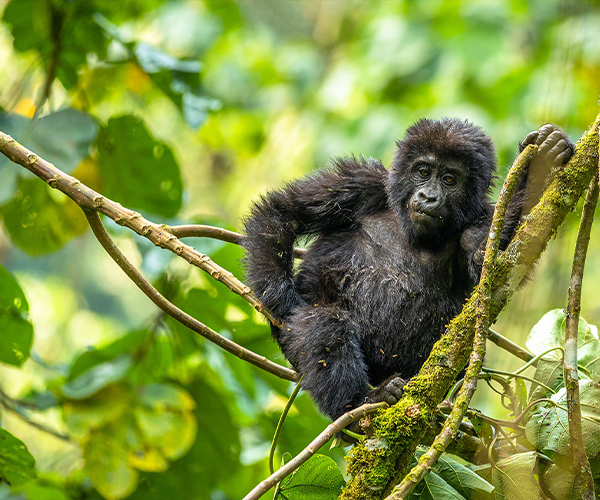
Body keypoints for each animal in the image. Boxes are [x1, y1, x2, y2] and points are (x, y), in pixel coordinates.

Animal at [243, 119, 572, 420]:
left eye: (450, 179)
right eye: (423, 172)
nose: (428, 197)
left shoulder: (483, 219)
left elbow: (493, 264)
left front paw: (541, 163)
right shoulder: (361, 181)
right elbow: (283, 213)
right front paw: (281, 300)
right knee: (324, 324)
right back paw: (359, 402)